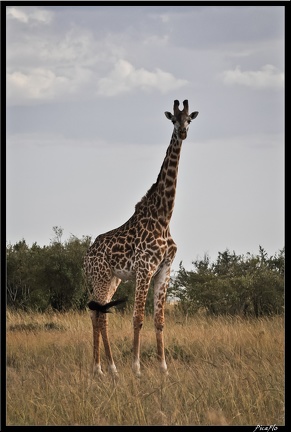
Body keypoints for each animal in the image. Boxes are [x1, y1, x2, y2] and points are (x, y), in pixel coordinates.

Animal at [83, 99, 200, 376]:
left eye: (190, 119)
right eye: (173, 120)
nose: (183, 132)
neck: (164, 218)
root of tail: (85, 258)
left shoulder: (164, 269)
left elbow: (159, 321)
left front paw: (163, 368)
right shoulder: (145, 268)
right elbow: (138, 318)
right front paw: (136, 368)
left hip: (112, 280)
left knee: (98, 313)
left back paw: (106, 368)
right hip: (101, 277)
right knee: (99, 314)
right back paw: (104, 369)